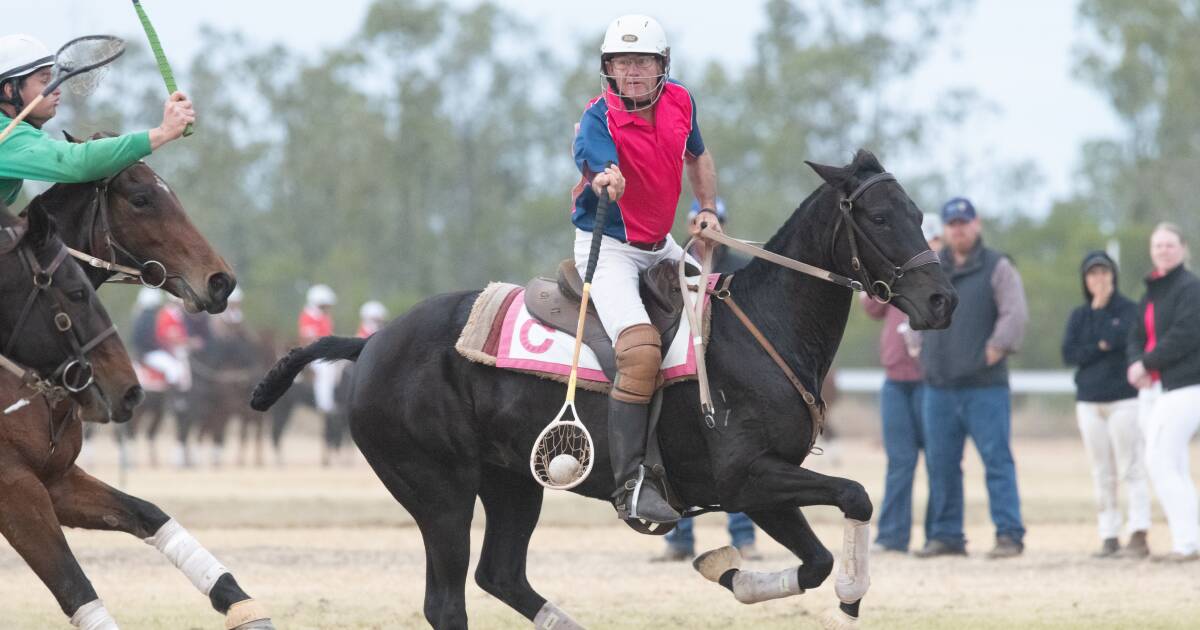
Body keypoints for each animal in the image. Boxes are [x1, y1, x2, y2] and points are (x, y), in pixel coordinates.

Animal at [1, 148, 273, 628]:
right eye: (142, 198)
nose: (221, 280)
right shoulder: (15, 486)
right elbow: (74, 585)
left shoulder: (56, 478)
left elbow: (148, 513)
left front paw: (240, 602)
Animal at [253, 150, 955, 624]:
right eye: (879, 216)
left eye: (920, 213)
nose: (942, 300)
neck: (764, 329)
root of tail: (370, 344)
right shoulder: (748, 478)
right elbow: (855, 497)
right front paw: (847, 595)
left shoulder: (764, 485)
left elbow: (817, 559)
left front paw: (728, 569)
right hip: (438, 491)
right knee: (447, 601)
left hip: (512, 480)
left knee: (501, 574)